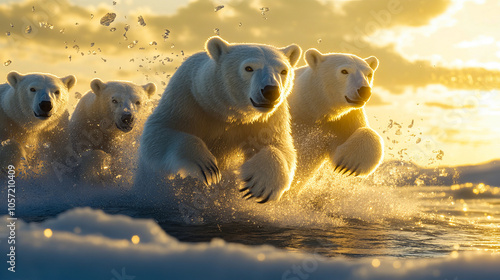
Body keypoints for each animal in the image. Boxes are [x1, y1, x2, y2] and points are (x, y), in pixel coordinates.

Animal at [136, 36, 300, 203]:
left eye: (283, 71)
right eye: (249, 68)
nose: (271, 91)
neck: (226, 111)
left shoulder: (268, 118)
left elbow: (281, 147)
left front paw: (261, 183)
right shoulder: (187, 97)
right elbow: (159, 132)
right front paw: (206, 167)